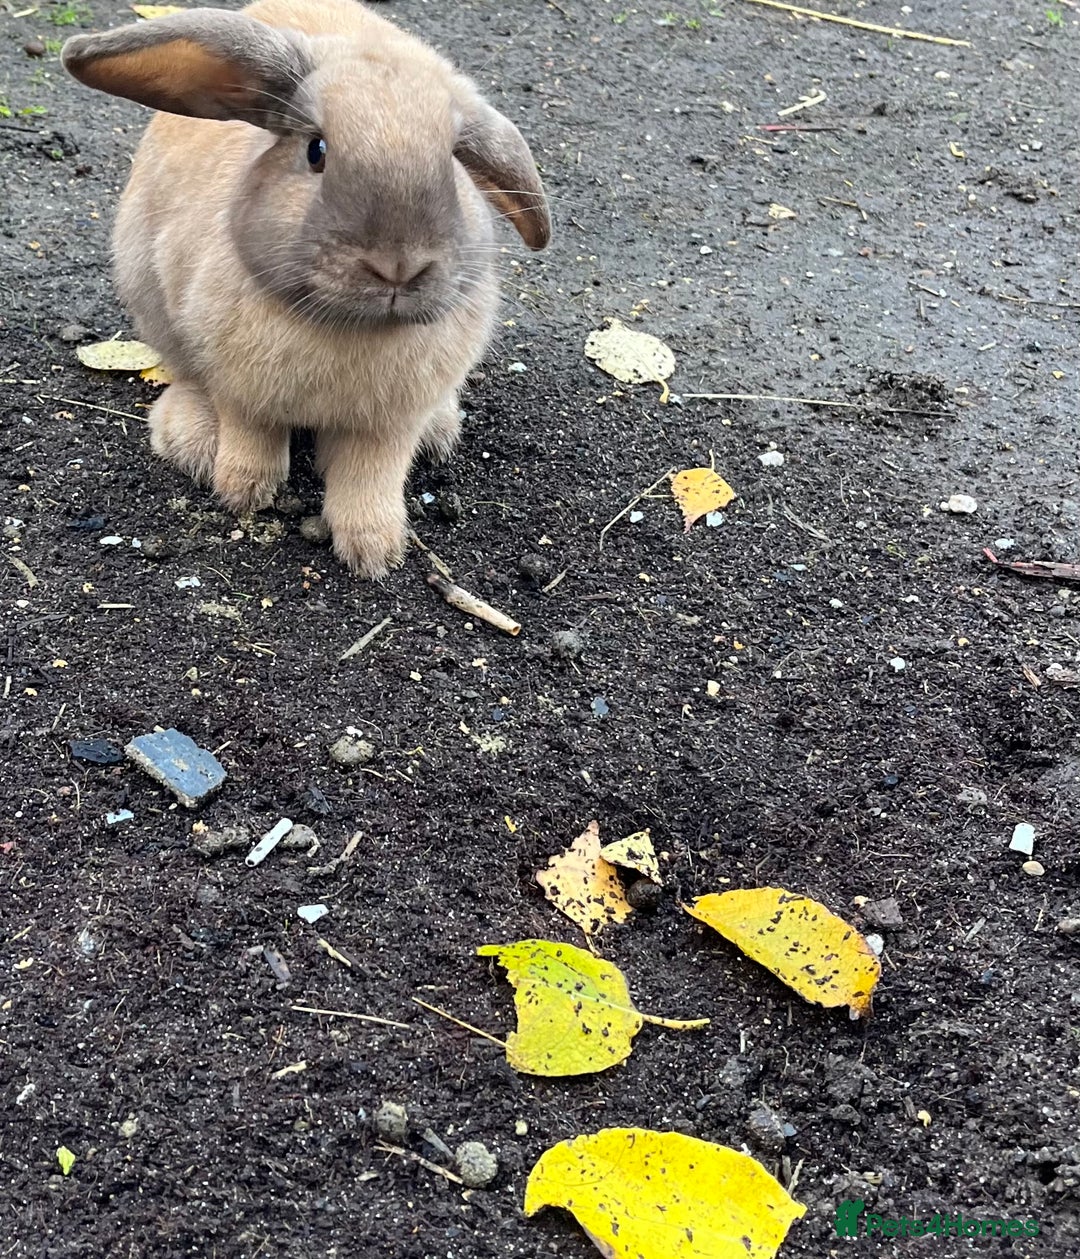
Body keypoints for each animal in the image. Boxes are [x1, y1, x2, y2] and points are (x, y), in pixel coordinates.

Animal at [62, 0, 550, 576]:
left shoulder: (390, 425)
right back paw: (192, 440)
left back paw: (440, 430)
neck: (351, 327)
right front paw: (243, 492)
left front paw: (374, 551)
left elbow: (370, 477)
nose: (399, 265)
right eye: (316, 150)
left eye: (455, 160)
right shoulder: (242, 390)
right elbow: (252, 435)